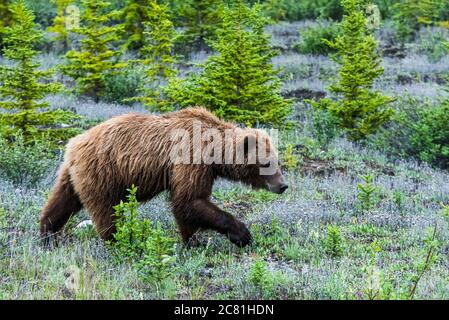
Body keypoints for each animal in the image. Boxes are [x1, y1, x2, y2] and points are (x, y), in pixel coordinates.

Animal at [39, 107, 288, 248]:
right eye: (266, 163)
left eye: (278, 161)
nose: (283, 185)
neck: (214, 152)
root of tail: (74, 142)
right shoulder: (191, 158)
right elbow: (189, 200)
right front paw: (242, 234)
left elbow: (187, 206)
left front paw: (192, 241)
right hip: (103, 172)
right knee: (106, 212)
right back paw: (120, 241)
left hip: (75, 175)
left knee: (61, 202)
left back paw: (46, 235)